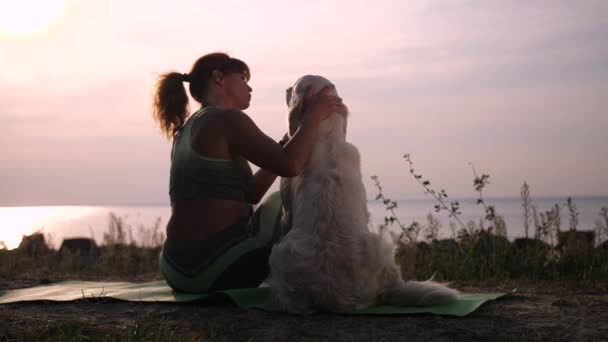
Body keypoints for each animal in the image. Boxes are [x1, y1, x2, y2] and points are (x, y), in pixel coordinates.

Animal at [268, 76, 458, 314]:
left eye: (293, 88)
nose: (285, 89)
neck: (326, 137)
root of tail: (332, 295)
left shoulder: (286, 209)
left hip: (280, 253)